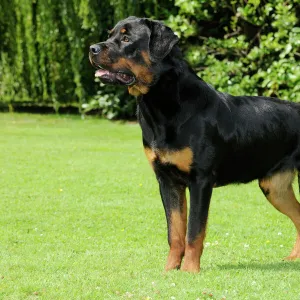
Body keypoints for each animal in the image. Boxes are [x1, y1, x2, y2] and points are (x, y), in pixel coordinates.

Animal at [90, 17, 300, 274]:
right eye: (110, 35)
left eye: (127, 38)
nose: (92, 48)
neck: (162, 105)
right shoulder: (167, 181)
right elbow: (175, 232)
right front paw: (170, 270)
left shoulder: (201, 180)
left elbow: (193, 231)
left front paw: (190, 271)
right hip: (274, 186)